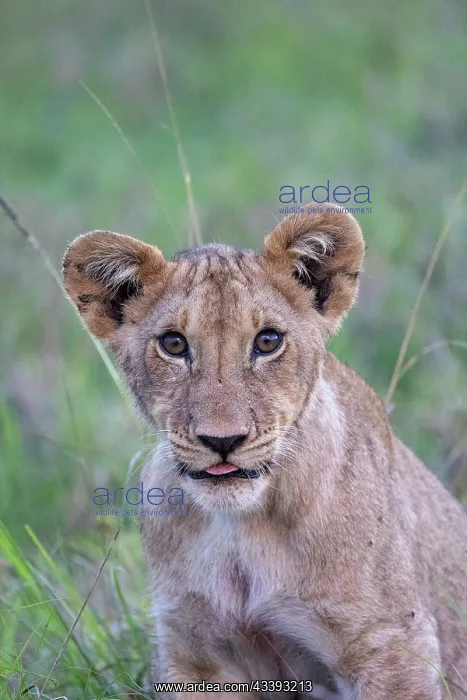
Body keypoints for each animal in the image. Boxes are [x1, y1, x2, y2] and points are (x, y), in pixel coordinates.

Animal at [63, 208, 467, 700]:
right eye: (174, 344)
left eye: (268, 341)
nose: (222, 440)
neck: (240, 528)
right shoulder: (194, 652)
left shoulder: (391, 642)